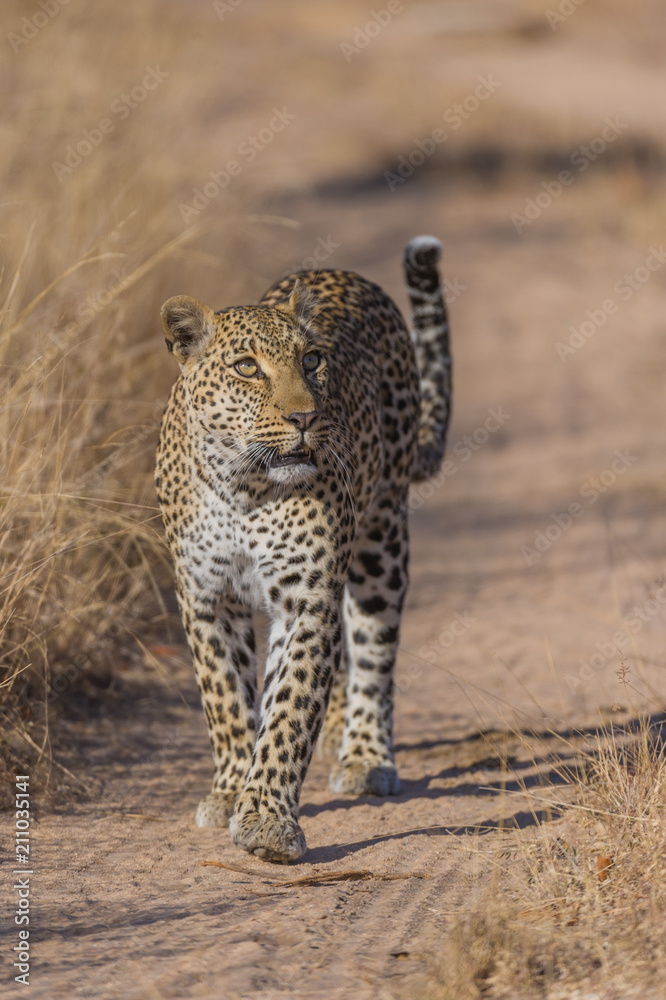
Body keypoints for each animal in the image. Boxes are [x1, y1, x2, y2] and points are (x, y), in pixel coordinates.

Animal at [155, 235, 451, 863]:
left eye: (312, 361)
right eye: (247, 368)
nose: (305, 417)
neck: (243, 487)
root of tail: (345, 274)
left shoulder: (307, 601)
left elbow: (289, 708)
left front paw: (266, 819)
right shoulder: (206, 598)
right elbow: (226, 698)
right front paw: (231, 791)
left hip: (382, 542)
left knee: (373, 654)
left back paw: (365, 755)